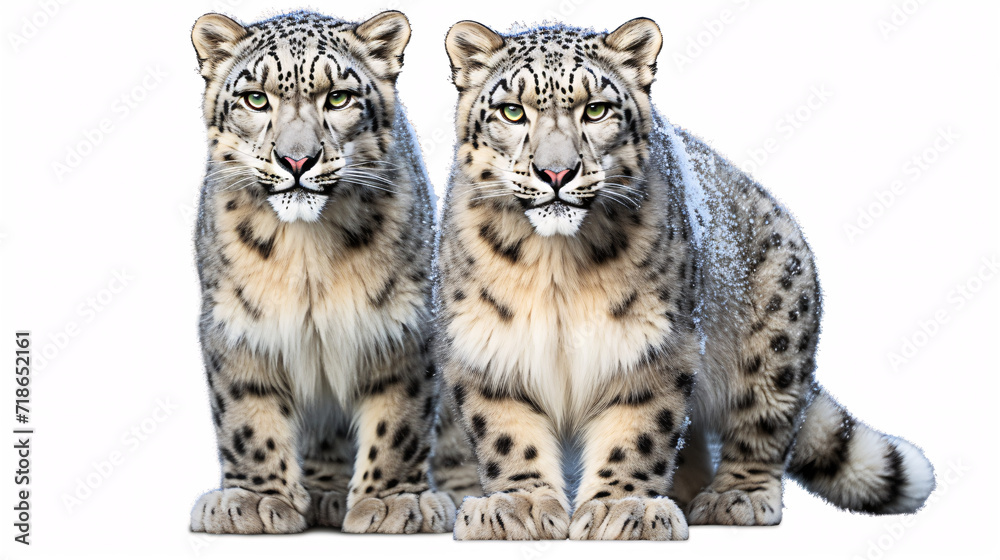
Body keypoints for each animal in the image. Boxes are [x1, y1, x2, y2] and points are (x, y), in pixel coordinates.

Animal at [187, 10, 455, 535]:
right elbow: (248, 415)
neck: (307, 252)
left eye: (338, 97)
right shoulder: (238, 323)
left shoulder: (402, 324)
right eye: (256, 98)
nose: (297, 159)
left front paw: (393, 502)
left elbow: (399, 419)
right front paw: (252, 500)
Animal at [433, 17, 936, 541]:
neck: (556, 267)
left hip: (776, 337)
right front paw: (518, 506)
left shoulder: (651, 343)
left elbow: (639, 430)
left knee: (765, 422)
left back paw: (735, 497)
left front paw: (623, 507)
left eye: (596, 109)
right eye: (512, 111)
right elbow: (507, 433)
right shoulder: (487, 344)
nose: (556, 172)